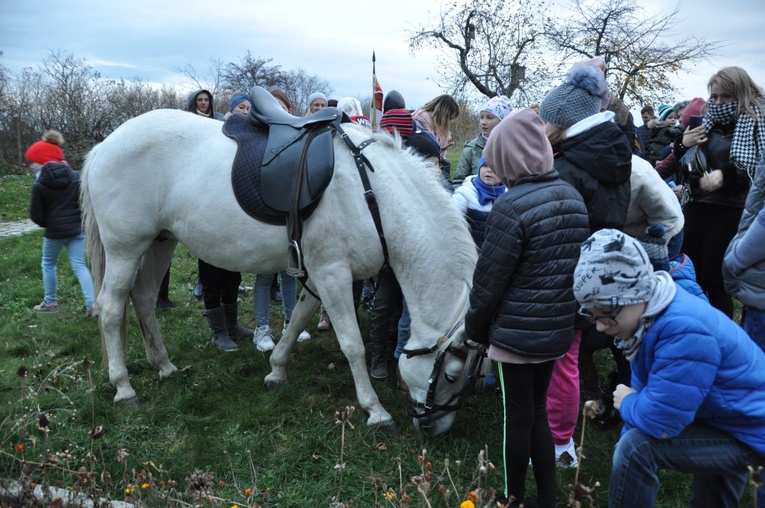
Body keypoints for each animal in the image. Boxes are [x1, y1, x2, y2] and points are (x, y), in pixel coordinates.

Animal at [82, 109, 478, 434]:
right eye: (451, 375)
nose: (437, 428)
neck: (373, 192)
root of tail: (105, 144)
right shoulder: (334, 275)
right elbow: (352, 344)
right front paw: (375, 410)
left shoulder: (318, 274)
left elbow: (298, 318)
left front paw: (276, 370)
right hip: (125, 248)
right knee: (112, 308)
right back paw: (124, 387)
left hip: (160, 242)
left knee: (144, 298)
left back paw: (164, 365)